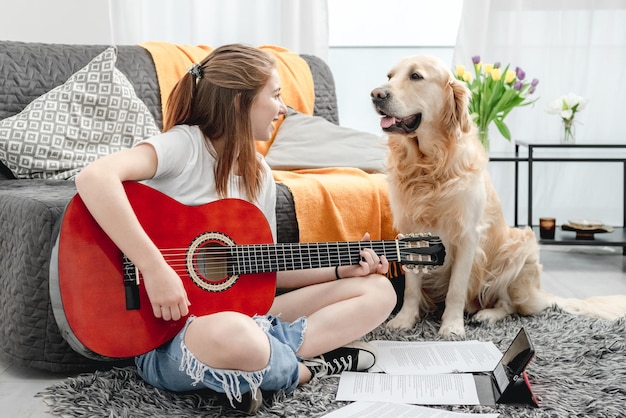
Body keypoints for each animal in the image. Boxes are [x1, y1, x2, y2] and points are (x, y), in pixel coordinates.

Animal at [368, 55, 624, 338]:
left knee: (510, 306)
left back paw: (487, 315)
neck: (429, 165)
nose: (376, 94)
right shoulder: (411, 230)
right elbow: (412, 287)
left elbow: (456, 288)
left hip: (520, 249)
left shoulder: (468, 236)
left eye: (416, 76)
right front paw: (405, 320)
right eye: (389, 76)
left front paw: (452, 326)